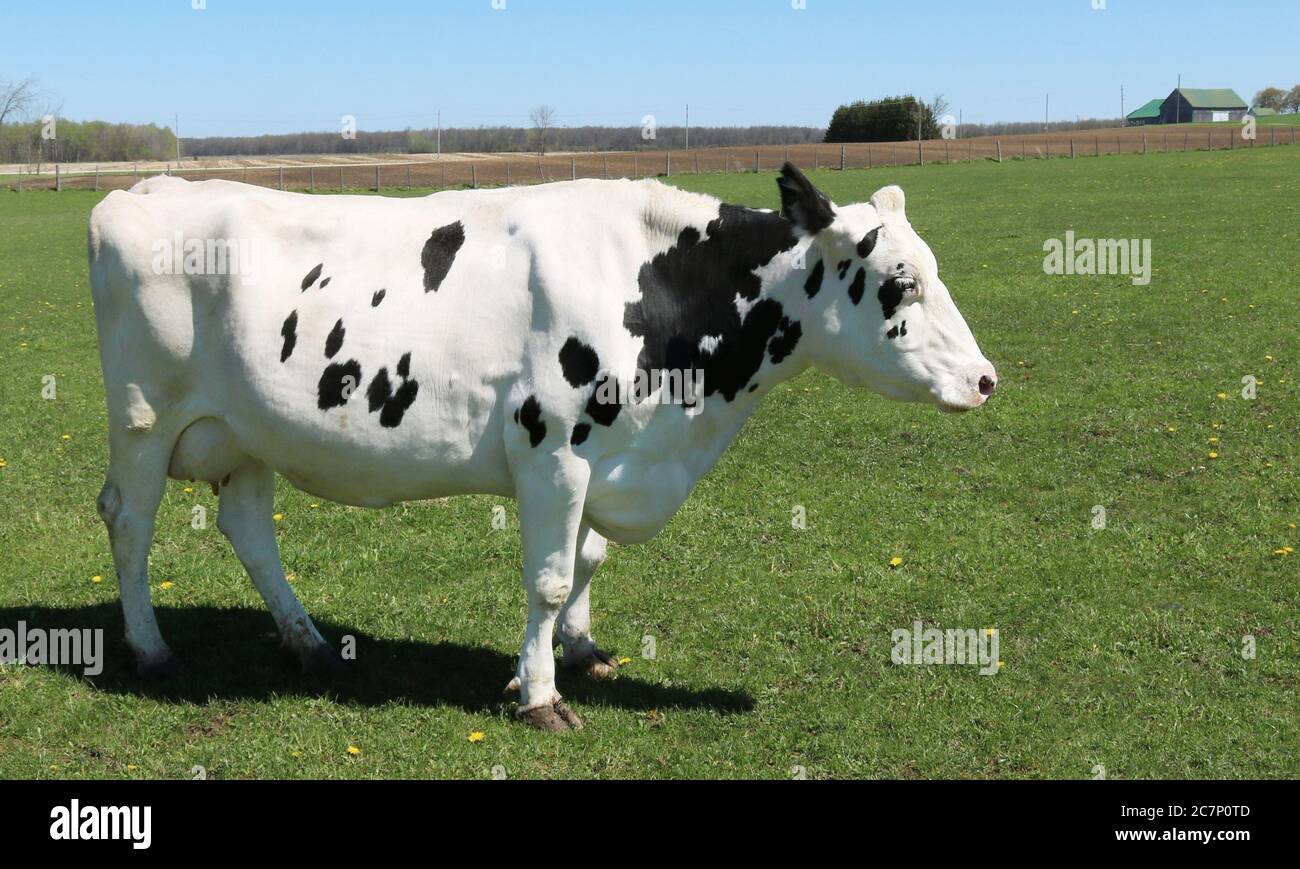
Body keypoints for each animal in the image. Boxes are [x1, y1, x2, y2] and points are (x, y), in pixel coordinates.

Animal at [88, 164, 996, 730]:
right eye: (902, 282)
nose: (986, 379)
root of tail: (142, 190)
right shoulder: (552, 450)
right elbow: (552, 577)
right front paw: (539, 693)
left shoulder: (607, 456)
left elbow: (588, 558)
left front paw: (580, 652)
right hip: (143, 417)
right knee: (128, 520)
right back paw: (152, 649)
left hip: (247, 428)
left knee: (247, 527)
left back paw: (309, 644)